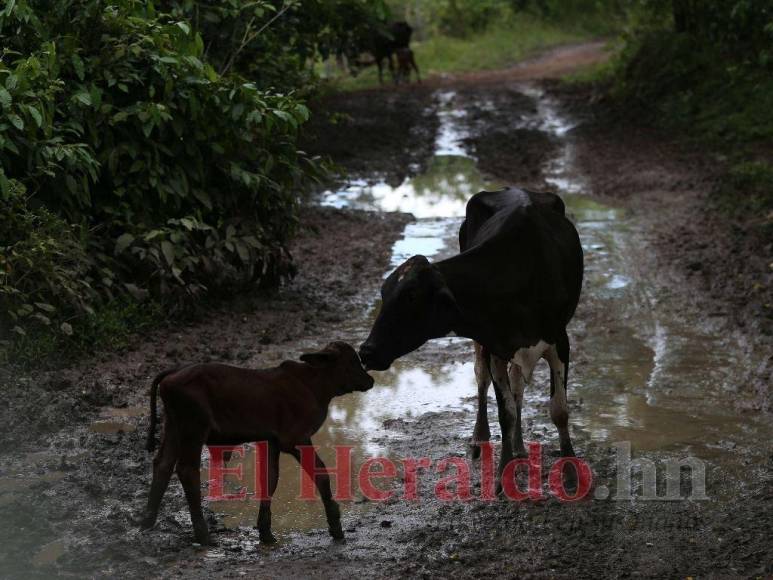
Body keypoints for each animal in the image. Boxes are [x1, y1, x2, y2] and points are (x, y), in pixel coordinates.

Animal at [139, 340, 374, 544]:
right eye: (353, 361)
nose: (370, 380)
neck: (313, 384)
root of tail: (174, 372)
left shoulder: (272, 441)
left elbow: (270, 479)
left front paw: (265, 531)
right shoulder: (296, 439)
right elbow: (321, 474)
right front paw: (336, 527)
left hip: (173, 427)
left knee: (163, 464)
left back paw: (147, 522)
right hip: (193, 429)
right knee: (187, 470)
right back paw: (203, 535)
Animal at [358, 189, 584, 484]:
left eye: (411, 296)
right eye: (383, 293)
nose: (366, 351)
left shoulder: (559, 340)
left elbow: (559, 410)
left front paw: (570, 470)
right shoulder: (494, 343)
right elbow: (506, 413)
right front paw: (502, 477)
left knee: (517, 385)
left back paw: (520, 447)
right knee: (482, 378)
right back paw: (481, 439)